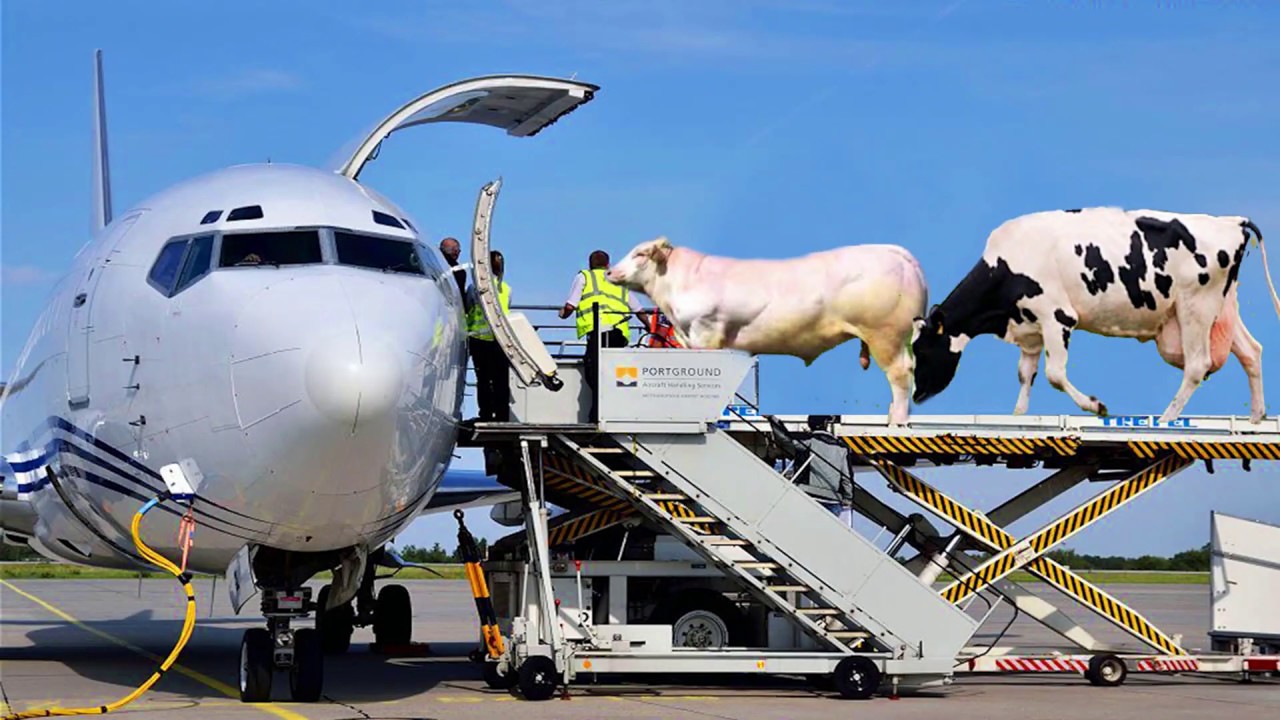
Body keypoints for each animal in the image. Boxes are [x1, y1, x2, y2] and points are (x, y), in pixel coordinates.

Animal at [604, 235, 926, 425]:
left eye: (640, 254)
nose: (609, 271)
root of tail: (895, 251)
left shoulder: (706, 330)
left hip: (885, 335)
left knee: (900, 374)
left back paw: (897, 422)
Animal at [911, 206, 1280, 420]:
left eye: (923, 351)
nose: (916, 395)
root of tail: (1229, 221)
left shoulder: (1057, 316)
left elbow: (1054, 374)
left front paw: (1096, 405)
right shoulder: (1030, 326)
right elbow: (1025, 375)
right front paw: (1018, 417)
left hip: (1196, 306)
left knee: (1197, 366)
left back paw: (1165, 420)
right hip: (1223, 306)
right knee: (1251, 352)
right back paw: (1256, 417)